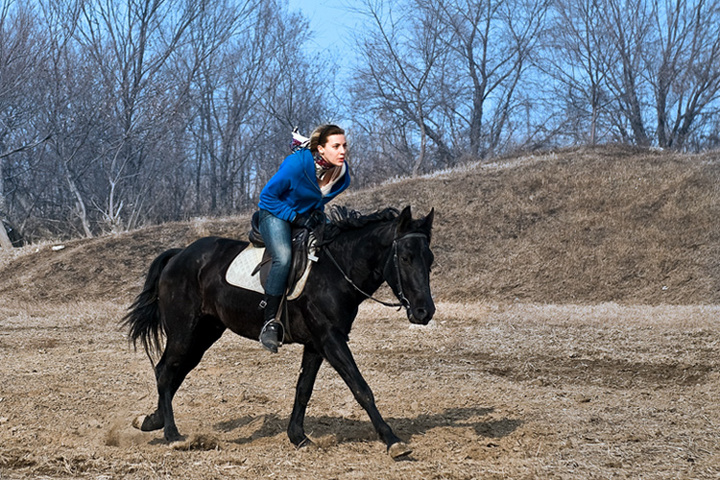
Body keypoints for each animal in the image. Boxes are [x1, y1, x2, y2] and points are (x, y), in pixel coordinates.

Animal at [124, 205, 436, 458]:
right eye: (405, 258)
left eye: (429, 260)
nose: (425, 312)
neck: (335, 270)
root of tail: (179, 255)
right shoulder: (331, 339)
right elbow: (360, 387)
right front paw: (392, 440)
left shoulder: (316, 344)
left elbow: (304, 388)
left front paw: (298, 437)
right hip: (184, 332)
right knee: (166, 371)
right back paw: (172, 434)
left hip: (204, 333)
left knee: (175, 371)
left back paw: (152, 420)